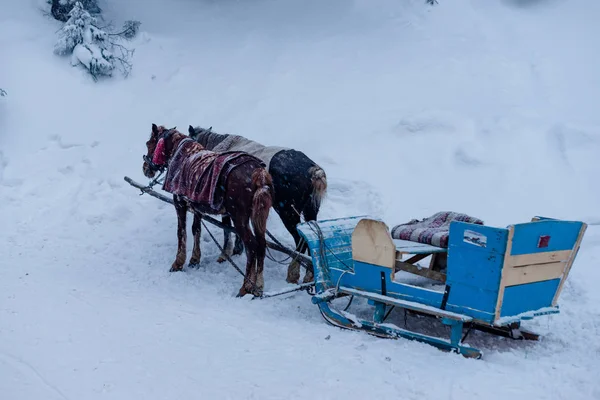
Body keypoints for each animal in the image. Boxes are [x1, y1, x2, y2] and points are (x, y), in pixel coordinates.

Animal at [142, 124, 274, 296]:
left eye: (149, 143)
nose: (145, 168)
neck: (180, 155)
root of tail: (259, 173)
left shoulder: (179, 203)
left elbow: (181, 232)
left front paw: (178, 263)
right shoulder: (196, 207)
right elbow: (196, 229)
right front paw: (194, 259)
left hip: (239, 217)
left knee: (251, 246)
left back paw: (246, 286)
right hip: (258, 217)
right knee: (261, 245)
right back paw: (258, 286)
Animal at [190, 125, 326, 284]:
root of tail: (313, 170)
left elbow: (227, 229)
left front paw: (227, 253)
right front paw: (238, 249)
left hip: (287, 212)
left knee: (301, 241)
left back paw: (293, 273)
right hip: (310, 211)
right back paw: (310, 274)